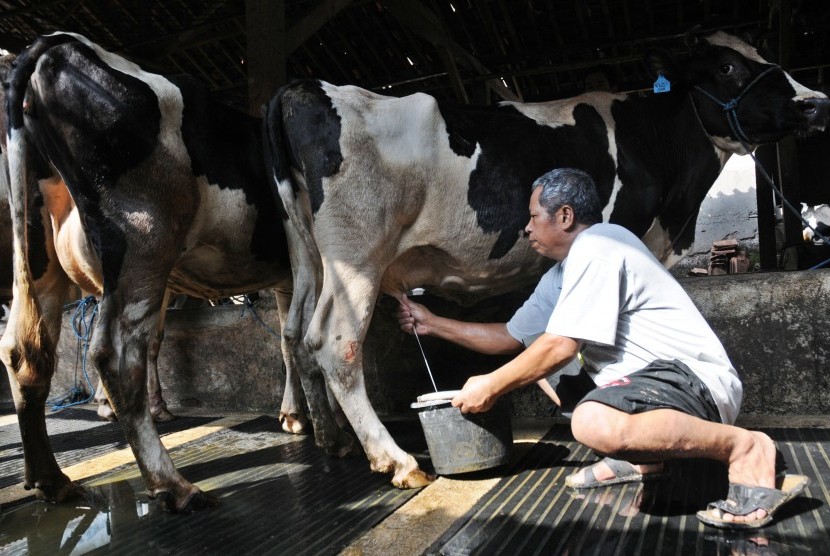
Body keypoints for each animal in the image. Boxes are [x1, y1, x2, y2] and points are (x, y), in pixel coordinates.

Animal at [0, 32, 348, 512]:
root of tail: (54, 44)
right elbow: (311, 338)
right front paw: (329, 423)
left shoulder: (287, 278)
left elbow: (285, 342)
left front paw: (296, 415)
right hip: (145, 240)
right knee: (116, 353)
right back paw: (172, 484)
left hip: (41, 259)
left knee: (25, 351)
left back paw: (53, 481)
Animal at [268, 32, 830, 488]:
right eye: (728, 67)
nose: (817, 102)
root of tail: (302, 88)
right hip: (357, 253)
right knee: (334, 342)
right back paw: (395, 460)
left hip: (307, 254)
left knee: (295, 333)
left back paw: (333, 439)